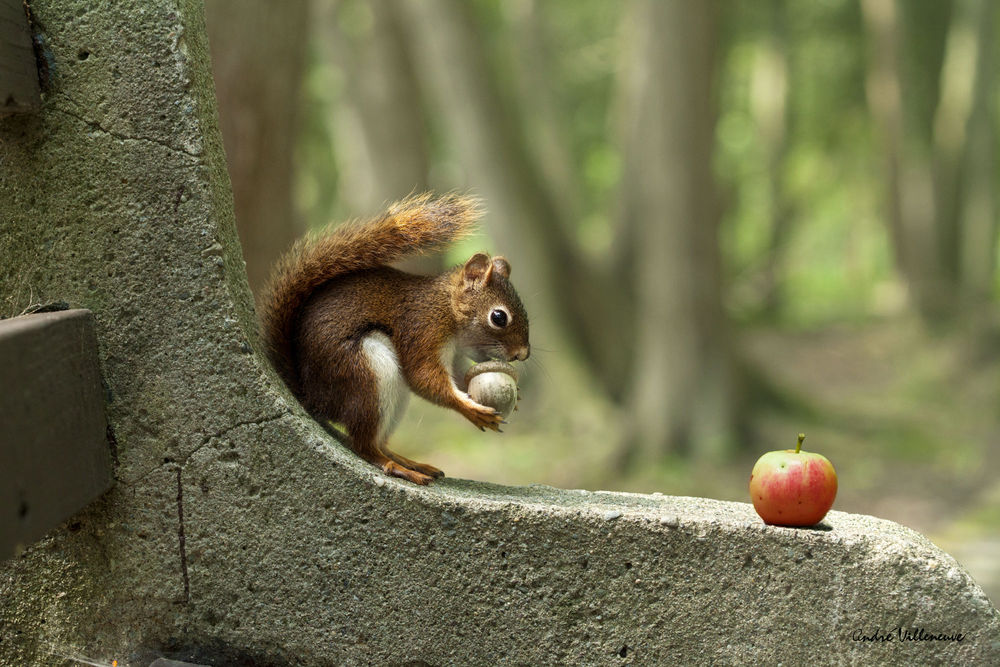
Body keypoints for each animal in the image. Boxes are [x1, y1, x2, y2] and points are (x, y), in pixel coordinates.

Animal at [260, 193, 530, 485]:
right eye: (499, 317)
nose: (522, 354)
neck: (445, 307)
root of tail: (313, 397)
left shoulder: (455, 353)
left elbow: (458, 376)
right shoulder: (421, 330)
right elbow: (423, 377)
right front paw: (470, 409)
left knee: (379, 443)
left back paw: (411, 462)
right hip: (365, 374)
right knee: (365, 446)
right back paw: (398, 467)